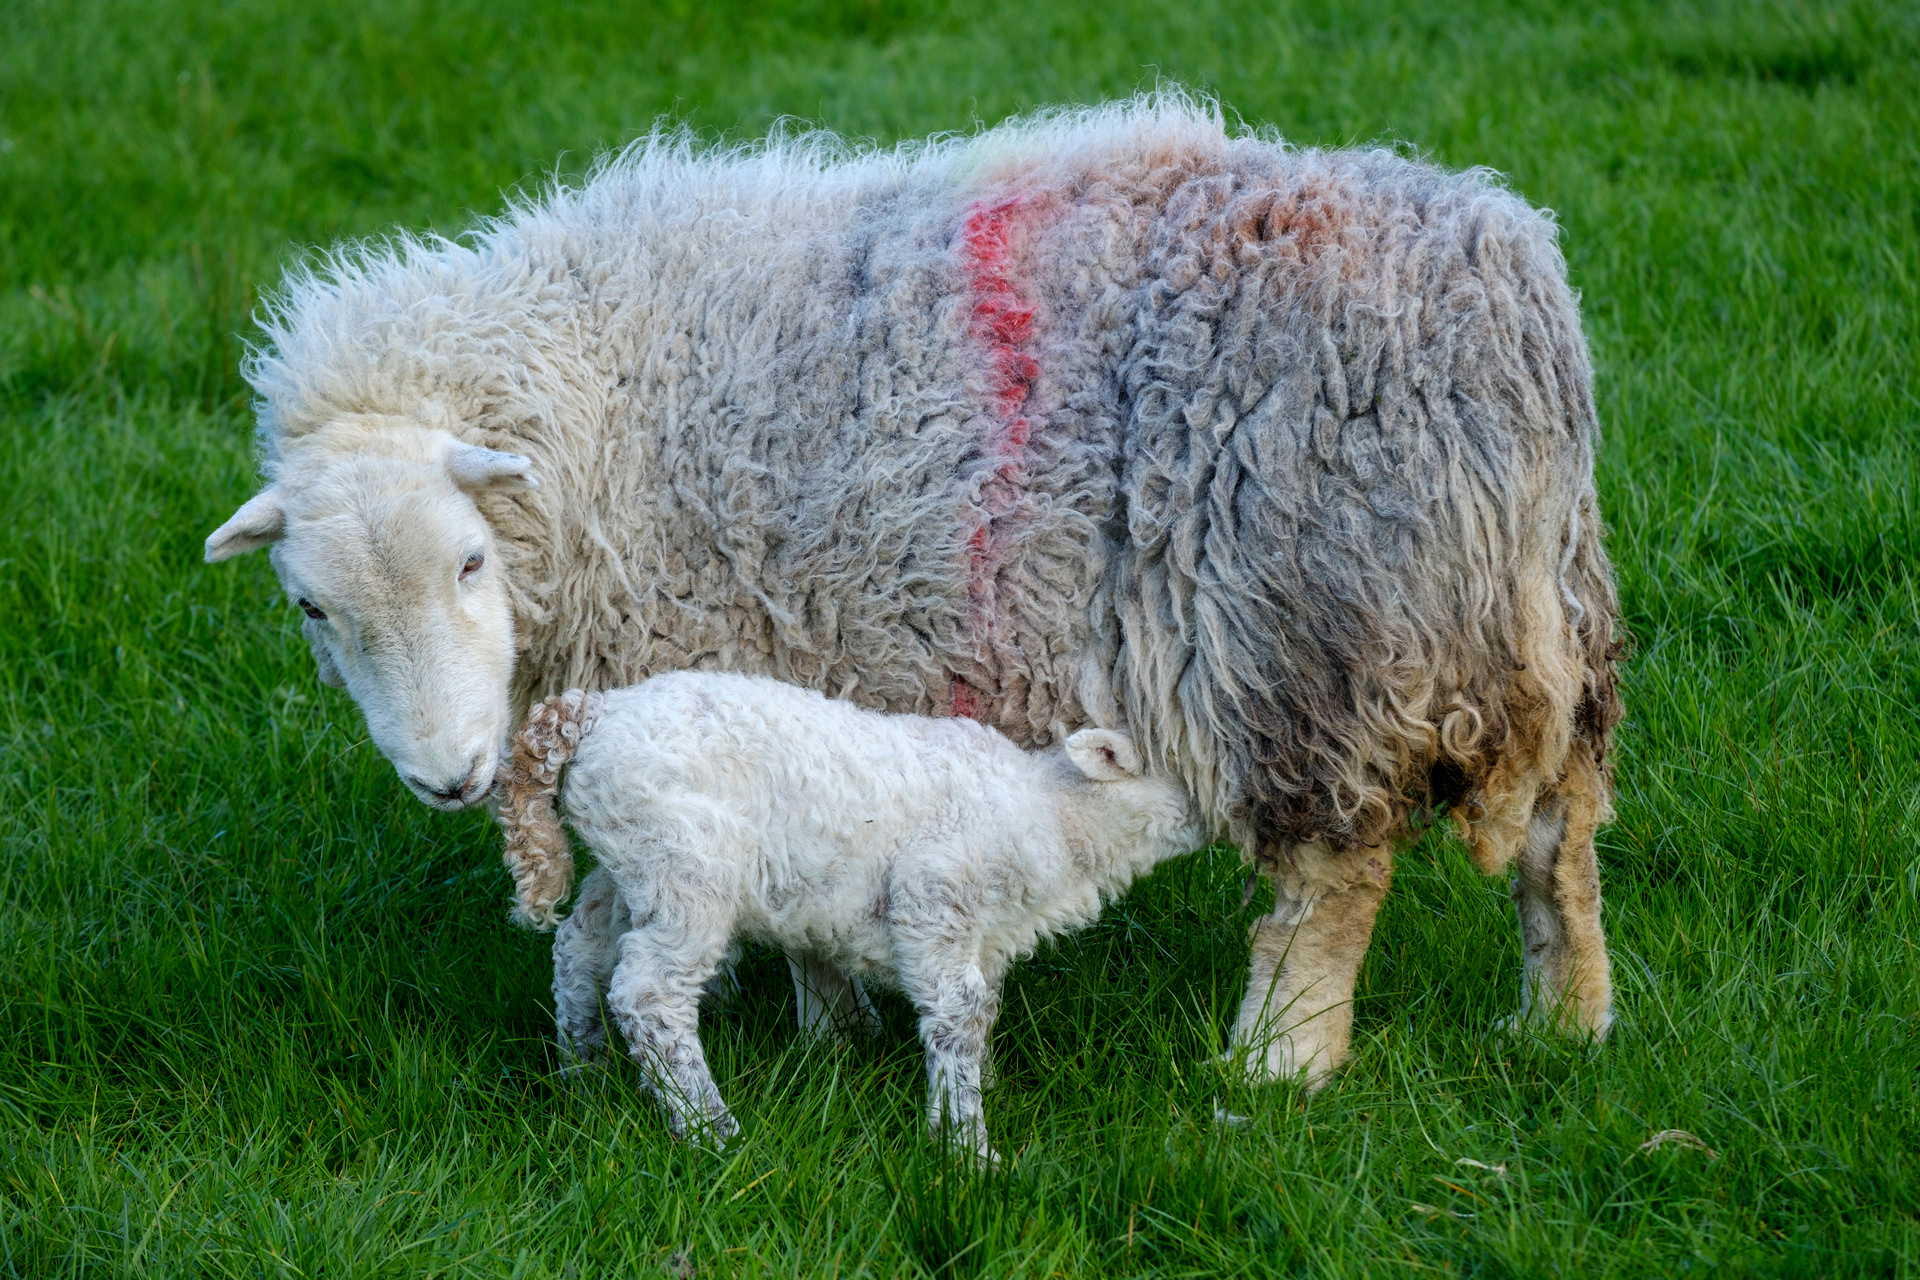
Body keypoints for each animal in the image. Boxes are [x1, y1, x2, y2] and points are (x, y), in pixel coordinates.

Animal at [205, 90, 1624, 1091]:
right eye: (312, 607)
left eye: (468, 560)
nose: (447, 775)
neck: (593, 405)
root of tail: (1510, 290)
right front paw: (830, 1034)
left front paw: (821, 1030)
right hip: (1535, 617)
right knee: (1562, 836)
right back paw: (1566, 1022)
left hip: (1314, 633)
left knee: (1336, 872)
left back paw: (1277, 1063)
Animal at [496, 672, 1205, 1158]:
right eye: (1187, 769)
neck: (1053, 814)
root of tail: (591, 711)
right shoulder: (933, 896)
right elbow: (961, 1014)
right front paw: (967, 1151)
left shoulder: (983, 934)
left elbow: (979, 1016)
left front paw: (980, 1096)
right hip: (685, 860)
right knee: (649, 994)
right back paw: (711, 1129)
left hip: (629, 861)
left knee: (579, 946)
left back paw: (585, 1078)